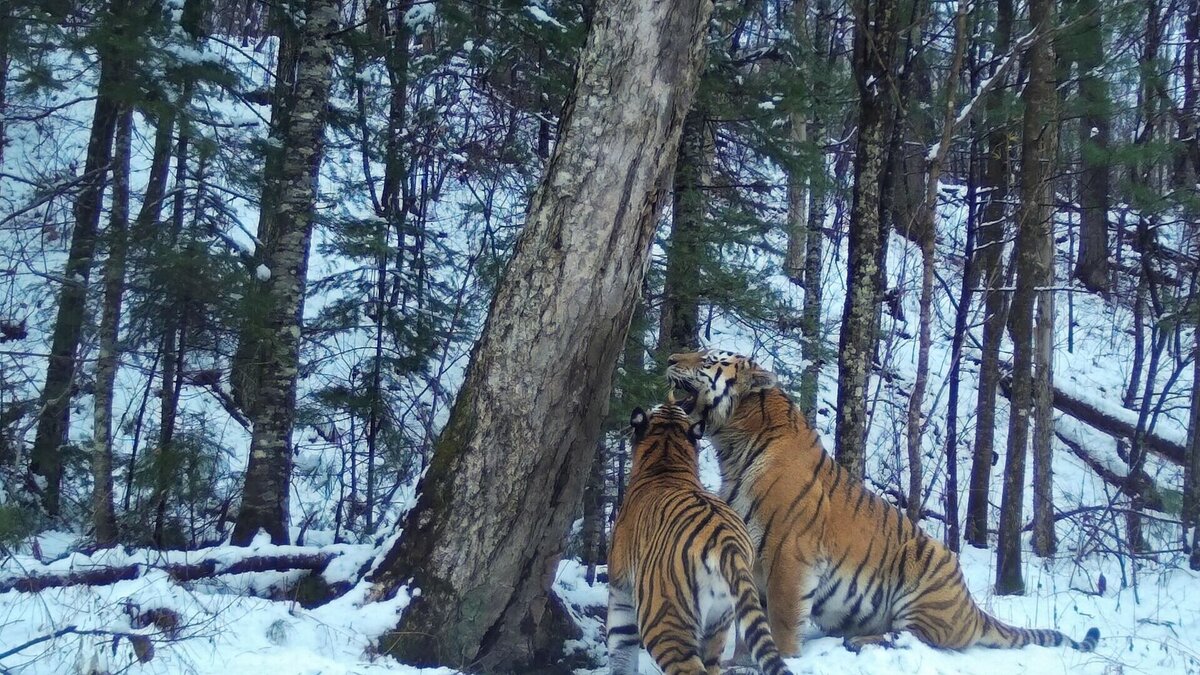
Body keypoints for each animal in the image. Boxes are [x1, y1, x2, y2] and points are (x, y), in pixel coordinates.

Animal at [609, 401, 796, 667]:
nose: (671, 401)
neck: (667, 459)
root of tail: (727, 544)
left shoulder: (620, 589)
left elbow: (620, 650)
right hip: (719, 621)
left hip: (664, 621)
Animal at [662, 348, 1099, 653]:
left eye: (707, 358)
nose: (669, 358)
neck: (732, 447)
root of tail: (971, 607)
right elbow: (749, 619)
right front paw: (742, 661)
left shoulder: (790, 555)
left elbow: (781, 619)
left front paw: (782, 657)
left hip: (924, 574)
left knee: (919, 638)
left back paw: (862, 643)